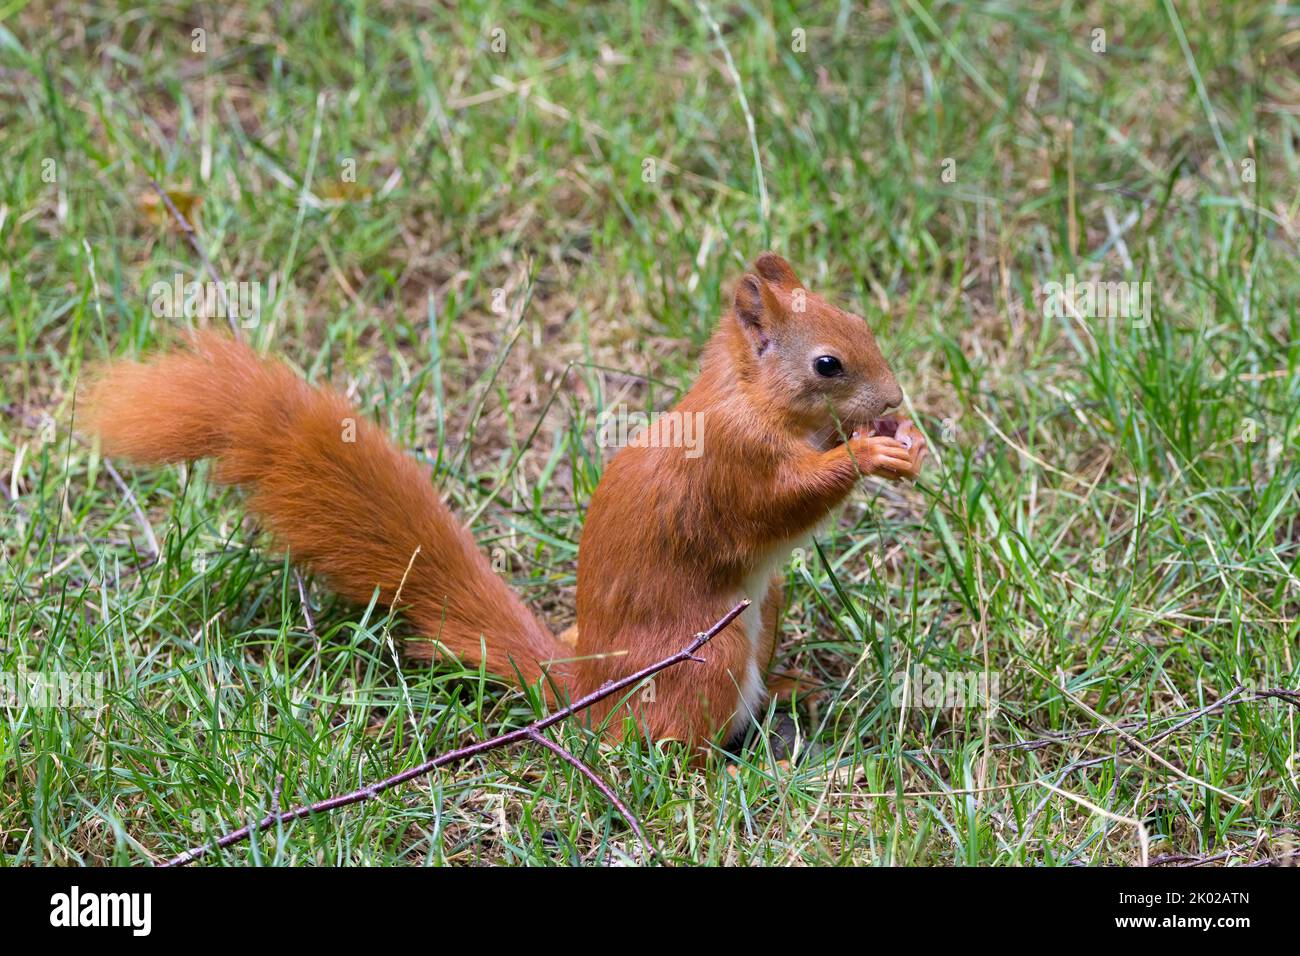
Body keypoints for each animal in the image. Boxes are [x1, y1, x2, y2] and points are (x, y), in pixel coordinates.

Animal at [86, 254, 925, 754]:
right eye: (828, 363)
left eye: (862, 322)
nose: (894, 399)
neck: (748, 397)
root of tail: (581, 691)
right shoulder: (731, 462)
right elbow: (777, 504)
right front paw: (869, 453)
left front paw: (897, 440)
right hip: (705, 655)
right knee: (659, 745)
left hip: (765, 611)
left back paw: (788, 693)